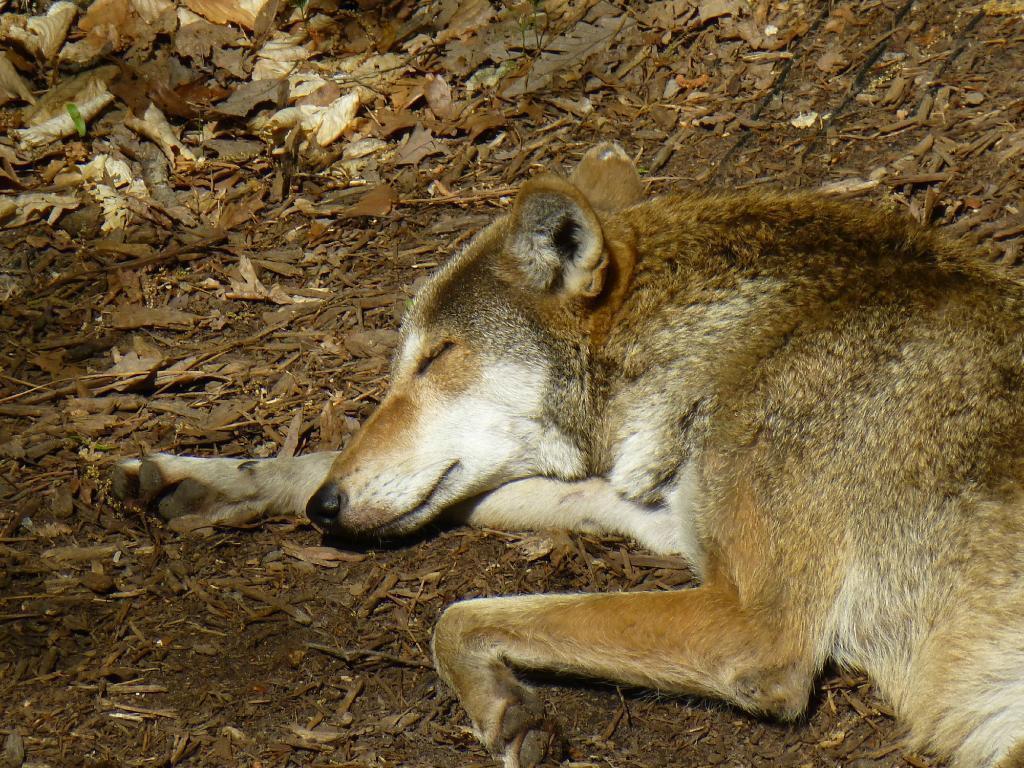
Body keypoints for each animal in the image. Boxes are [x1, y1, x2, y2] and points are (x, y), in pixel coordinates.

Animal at [116, 145, 1024, 768]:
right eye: (406, 362)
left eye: (436, 356)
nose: (325, 513)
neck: (744, 340)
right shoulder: (660, 513)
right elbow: (399, 489)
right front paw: (210, 477)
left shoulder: (754, 629)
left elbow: (458, 615)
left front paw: (503, 710)